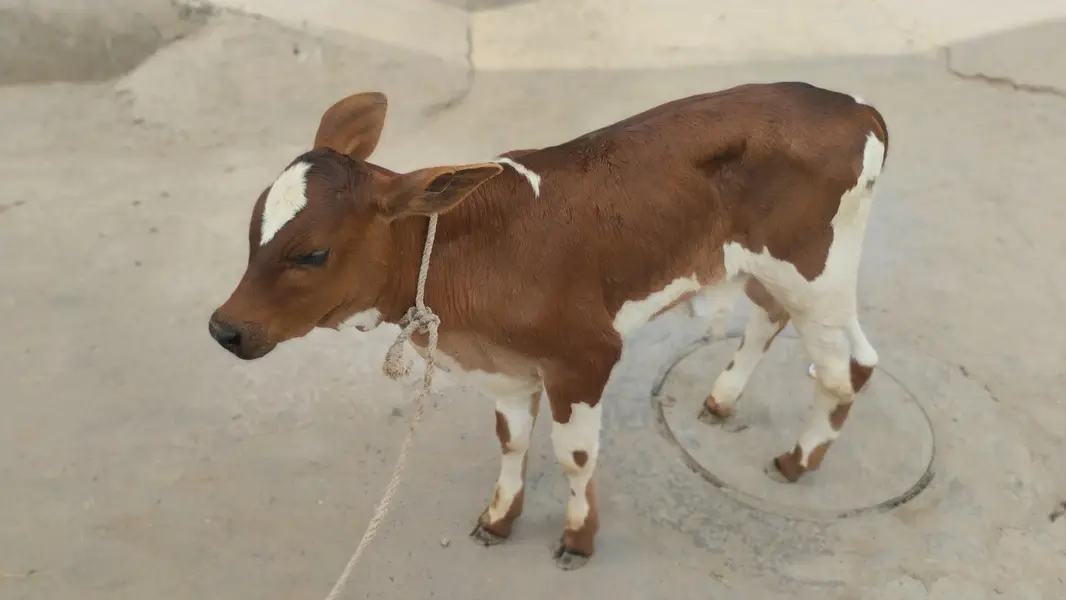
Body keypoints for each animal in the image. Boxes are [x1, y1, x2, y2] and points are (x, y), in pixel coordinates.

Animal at [208, 82, 888, 570]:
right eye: (252, 228)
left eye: (311, 254)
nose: (224, 329)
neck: (463, 253)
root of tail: (851, 107)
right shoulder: (508, 369)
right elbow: (511, 440)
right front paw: (499, 518)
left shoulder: (585, 356)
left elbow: (574, 454)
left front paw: (578, 538)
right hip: (763, 268)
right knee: (770, 319)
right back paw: (723, 399)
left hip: (817, 273)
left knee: (847, 366)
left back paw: (798, 460)